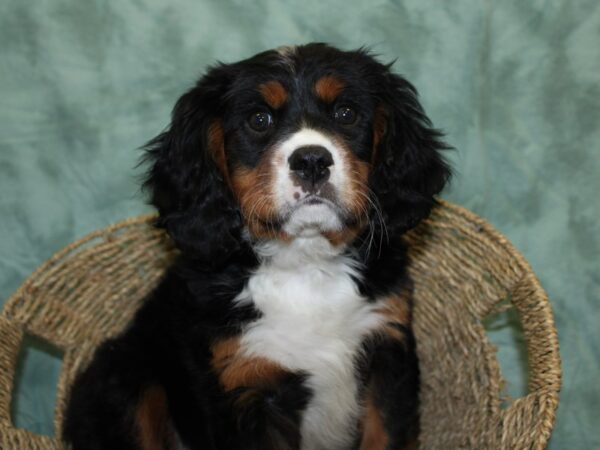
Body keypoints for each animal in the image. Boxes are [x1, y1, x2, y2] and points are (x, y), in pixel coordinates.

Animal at [63, 43, 452, 450]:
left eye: (346, 113)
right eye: (259, 120)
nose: (311, 160)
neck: (306, 265)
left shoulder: (388, 353)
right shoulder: (246, 384)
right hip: (125, 373)